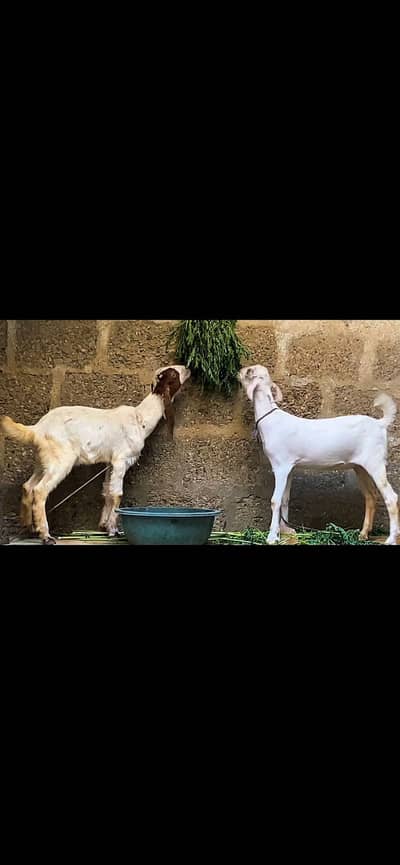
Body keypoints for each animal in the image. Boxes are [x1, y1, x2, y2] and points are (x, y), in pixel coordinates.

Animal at [0, 365, 191, 544]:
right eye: (174, 374)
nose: (188, 368)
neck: (140, 419)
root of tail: (37, 429)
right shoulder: (121, 459)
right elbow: (117, 494)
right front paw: (113, 530)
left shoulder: (110, 463)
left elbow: (107, 491)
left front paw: (104, 526)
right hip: (61, 459)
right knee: (40, 490)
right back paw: (46, 536)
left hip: (43, 461)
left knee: (28, 486)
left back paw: (30, 527)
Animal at [238, 365, 399, 545]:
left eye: (249, 371)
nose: (239, 371)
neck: (270, 420)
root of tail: (381, 423)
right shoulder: (290, 467)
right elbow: (286, 499)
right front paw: (287, 531)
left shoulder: (280, 466)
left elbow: (276, 500)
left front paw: (272, 536)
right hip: (361, 467)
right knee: (371, 496)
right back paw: (363, 534)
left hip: (375, 463)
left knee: (391, 498)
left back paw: (391, 539)